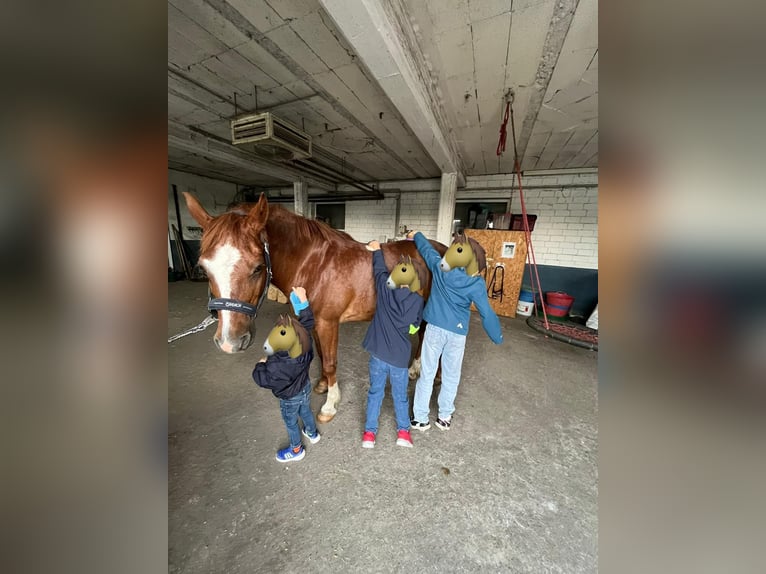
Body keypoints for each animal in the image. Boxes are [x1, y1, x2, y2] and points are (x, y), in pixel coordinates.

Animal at [184, 194, 448, 424]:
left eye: (258, 267)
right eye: (204, 268)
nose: (230, 342)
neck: (315, 264)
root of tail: (441, 249)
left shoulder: (328, 322)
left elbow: (330, 361)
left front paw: (330, 406)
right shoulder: (314, 321)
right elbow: (321, 354)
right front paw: (321, 385)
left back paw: (433, 377)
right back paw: (415, 370)